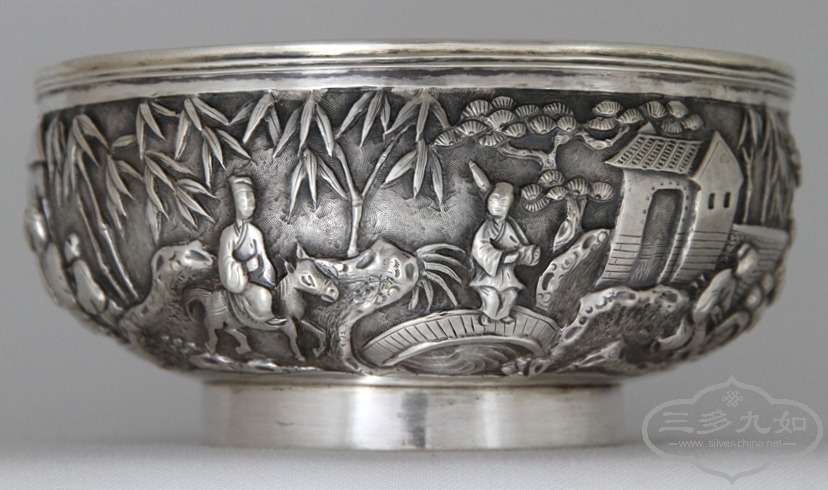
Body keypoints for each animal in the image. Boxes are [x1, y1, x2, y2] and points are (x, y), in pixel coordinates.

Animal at [186, 245, 339, 361]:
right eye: (307, 279)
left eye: (318, 269)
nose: (334, 292)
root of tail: (209, 296)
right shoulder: (286, 323)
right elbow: (294, 337)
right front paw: (300, 356)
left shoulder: (300, 319)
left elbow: (319, 331)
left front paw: (318, 350)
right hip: (217, 317)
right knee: (210, 326)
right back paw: (210, 347)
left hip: (236, 321)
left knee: (230, 329)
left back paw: (243, 348)